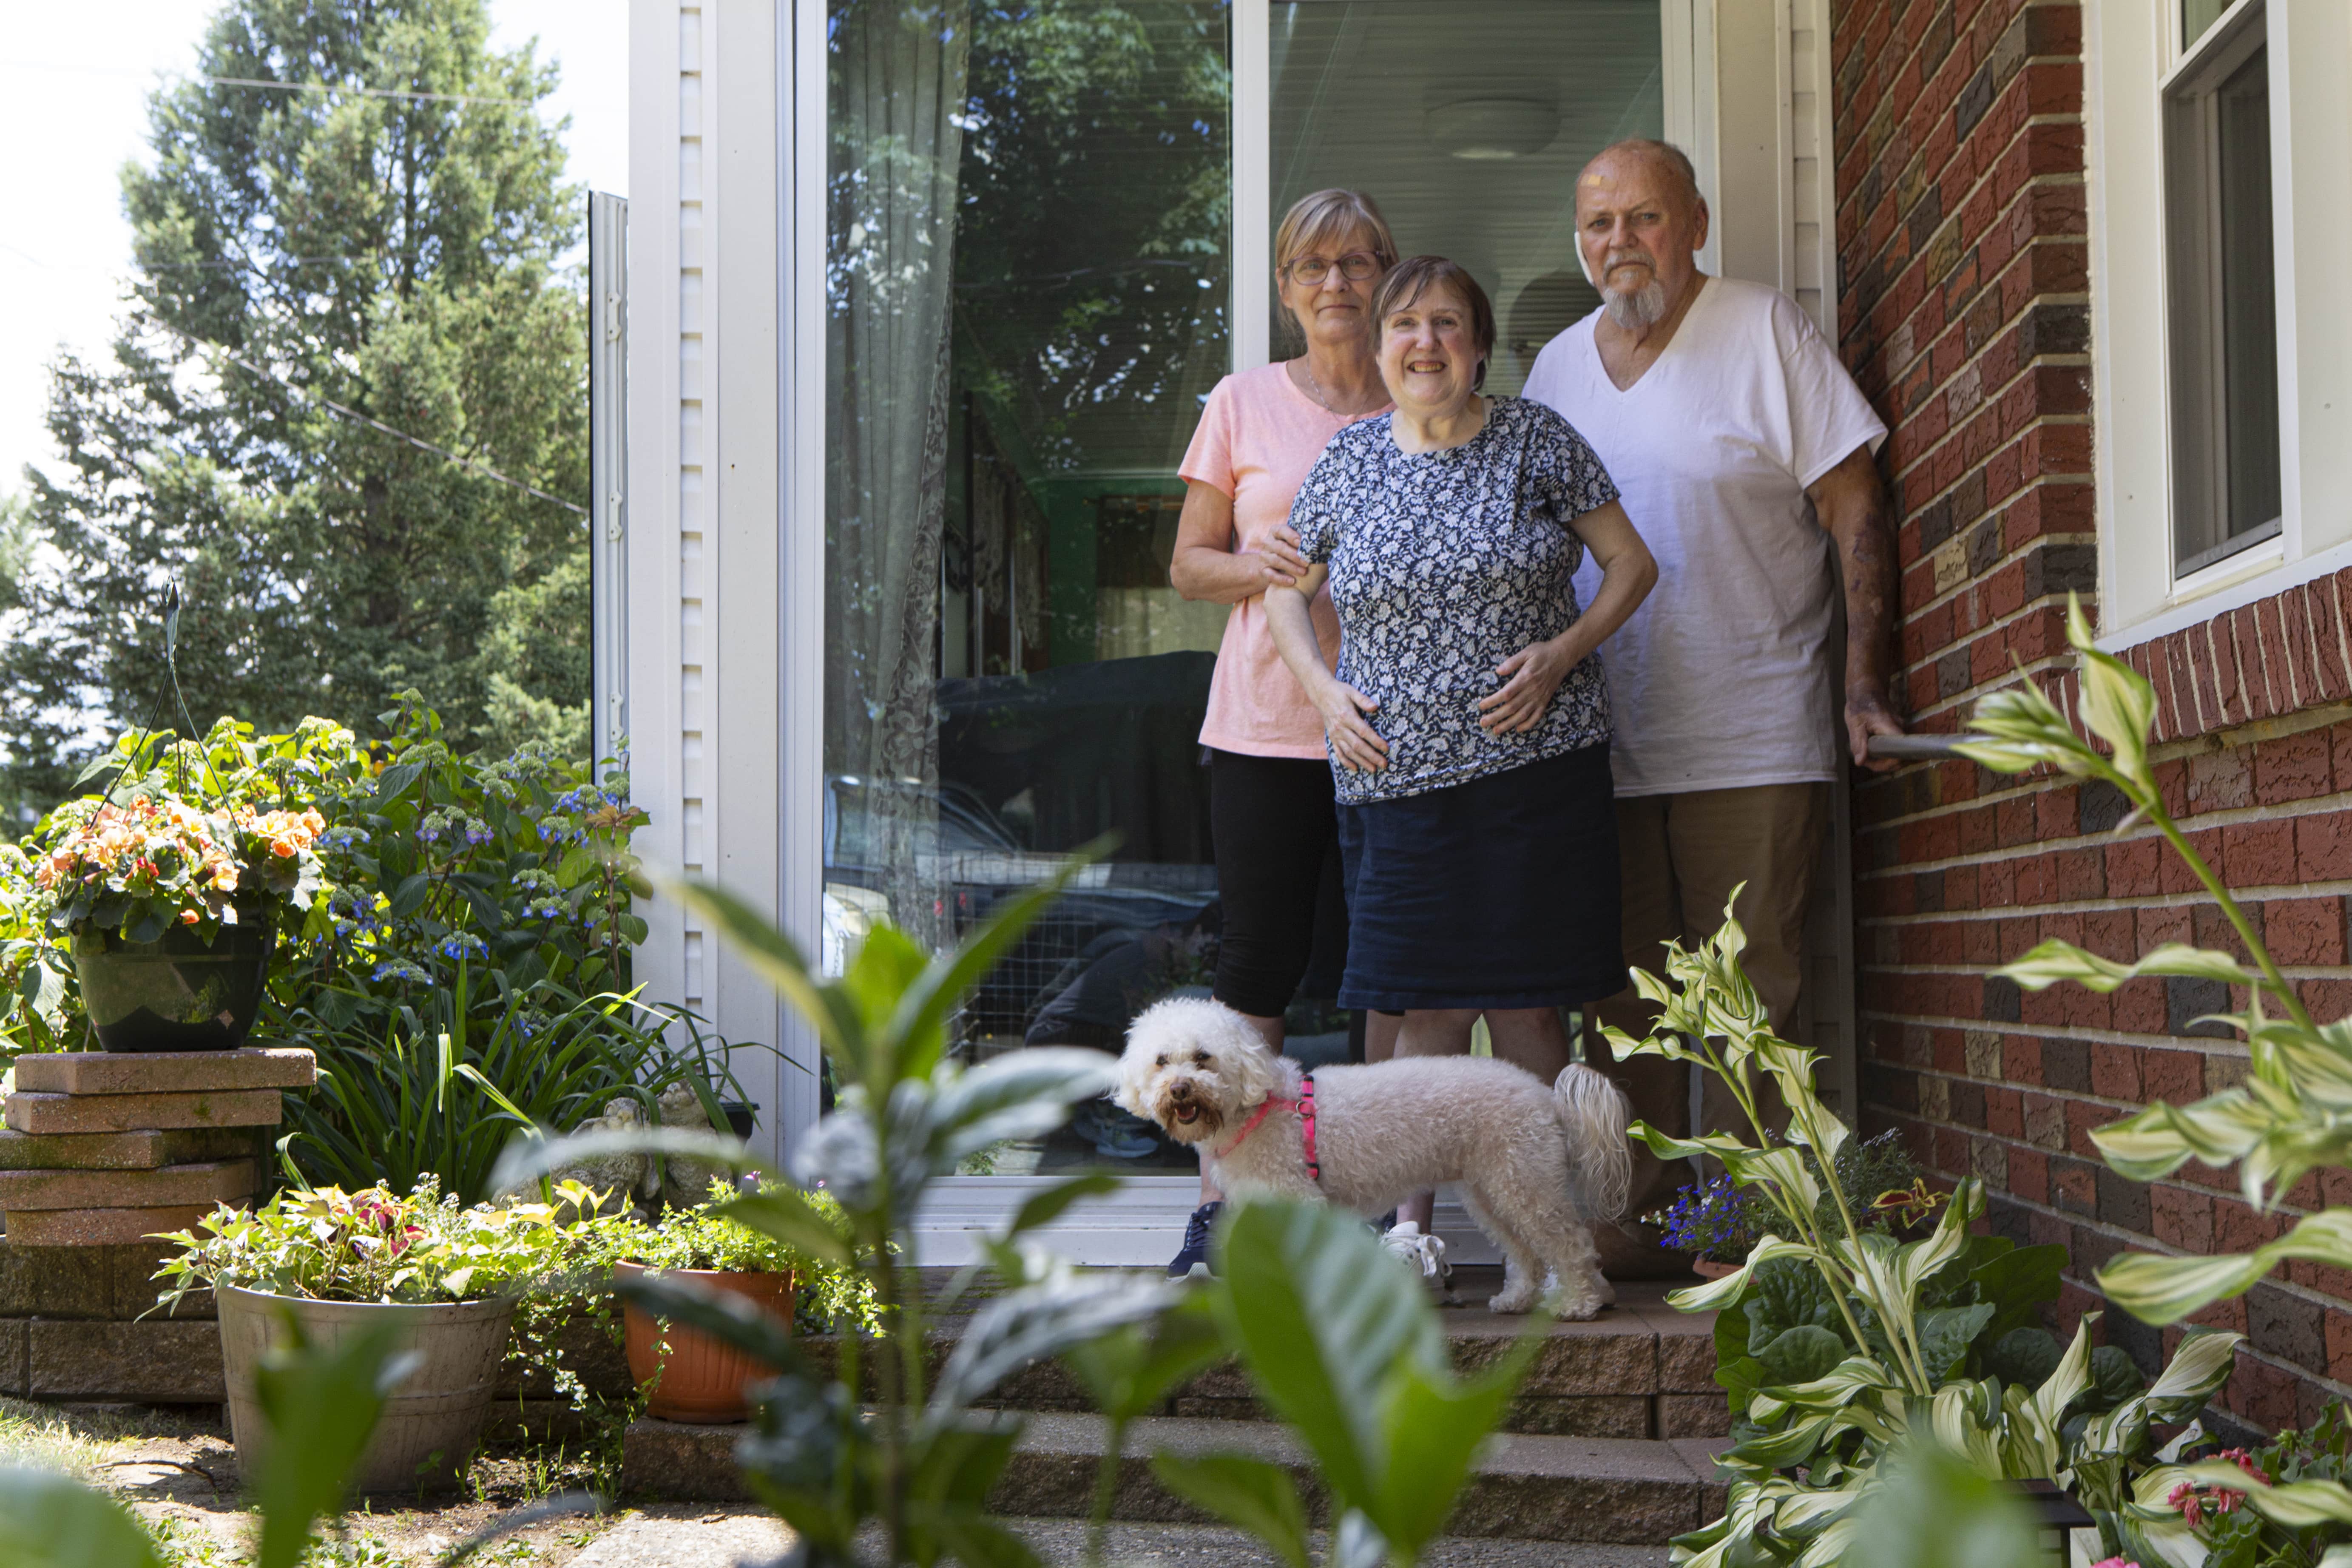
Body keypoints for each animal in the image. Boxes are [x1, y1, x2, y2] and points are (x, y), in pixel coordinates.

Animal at [1119, 1001, 1637, 1316]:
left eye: (1203, 1057)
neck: (1258, 1106)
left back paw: (1582, 1302)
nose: (1179, 1089)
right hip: (1493, 1187)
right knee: (1523, 1249)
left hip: (1525, 1180)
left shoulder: (1297, 1197)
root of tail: (1546, 1097)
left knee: (1570, 1242)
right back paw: (1518, 1299)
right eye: (1162, 1060)